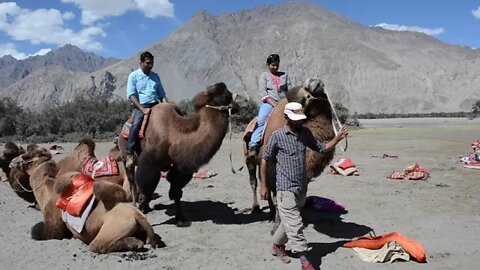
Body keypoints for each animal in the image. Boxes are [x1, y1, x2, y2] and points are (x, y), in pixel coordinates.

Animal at [9, 147, 162, 252]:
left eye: (25, 155)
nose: (11, 162)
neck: (47, 191)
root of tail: (137, 215)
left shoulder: (53, 221)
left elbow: (46, 233)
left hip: (113, 228)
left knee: (97, 245)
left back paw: (134, 243)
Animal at [242, 75, 336, 217]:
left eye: (324, 95)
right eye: (307, 94)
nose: (315, 79)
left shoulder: (303, 175)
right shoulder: (273, 165)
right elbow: (277, 193)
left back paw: (270, 209)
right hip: (250, 160)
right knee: (254, 181)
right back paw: (256, 208)